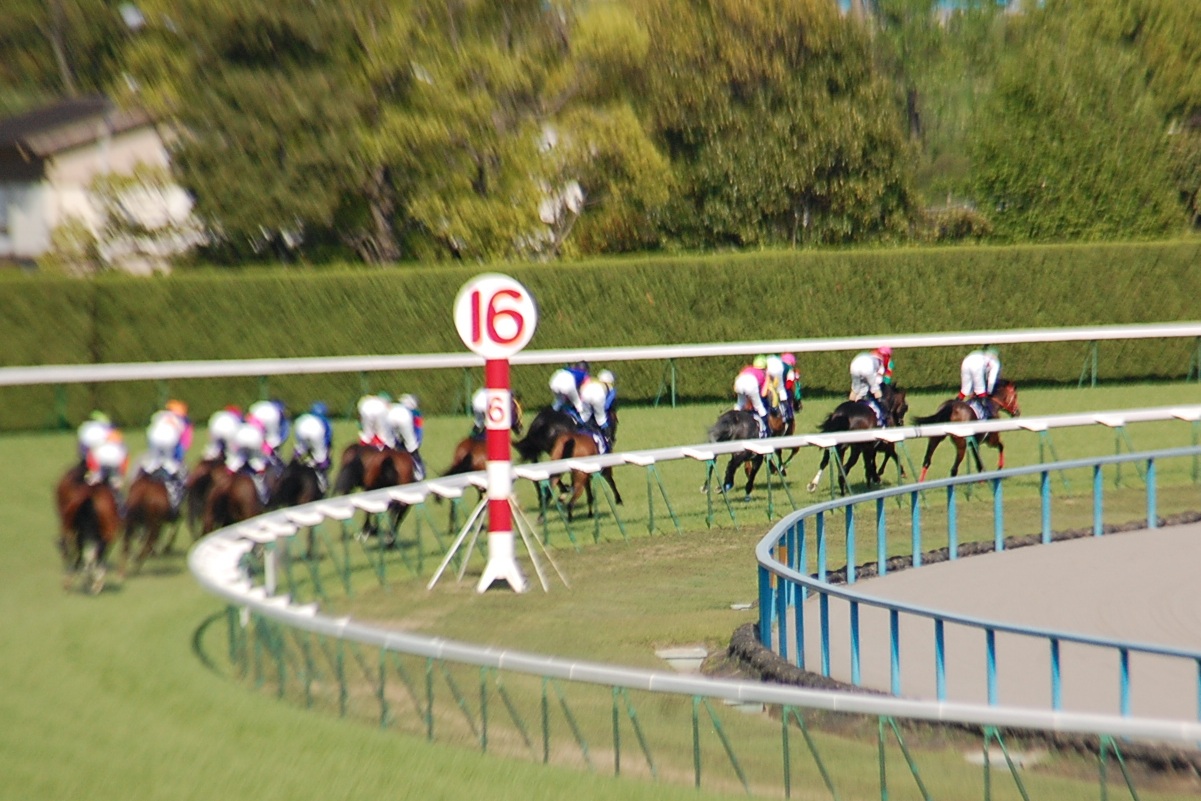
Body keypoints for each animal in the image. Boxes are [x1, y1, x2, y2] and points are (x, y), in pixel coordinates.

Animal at [54, 464, 122, 594]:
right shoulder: (107, 536)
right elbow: (96, 556)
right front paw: (96, 582)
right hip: (102, 535)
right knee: (91, 555)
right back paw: (93, 582)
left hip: (74, 534)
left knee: (78, 554)